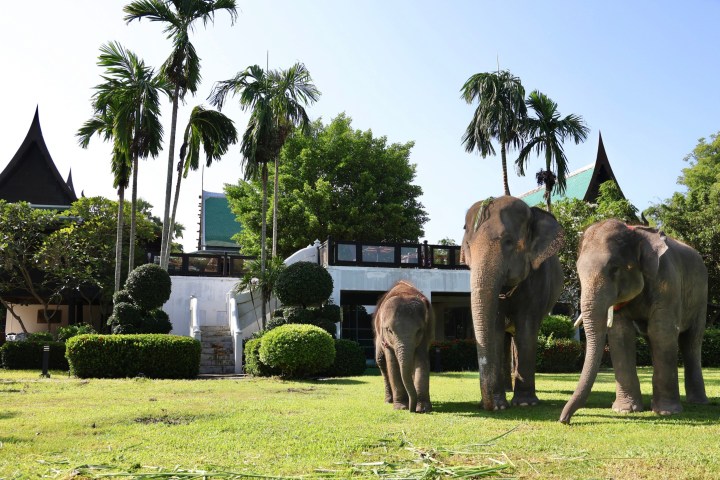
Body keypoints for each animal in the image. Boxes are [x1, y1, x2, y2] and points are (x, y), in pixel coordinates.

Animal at [374, 281, 434, 413]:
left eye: (419, 331)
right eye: (389, 330)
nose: (412, 410)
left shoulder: (426, 333)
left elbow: (422, 361)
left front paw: (423, 408)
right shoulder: (385, 339)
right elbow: (392, 363)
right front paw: (401, 407)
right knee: (381, 361)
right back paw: (389, 400)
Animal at [460, 196, 564, 411]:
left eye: (508, 242)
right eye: (468, 246)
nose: (486, 405)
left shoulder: (538, 281)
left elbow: (526, 330)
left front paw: (525, 403)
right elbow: (495, 331)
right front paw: (500, 404)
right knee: (505, 340)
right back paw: (507, 390)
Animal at [560, 219, 708, 424]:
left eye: (614, 269)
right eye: (578, 273)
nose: (564, 420)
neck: (635, 231)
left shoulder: (668, 282)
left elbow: (662, 332)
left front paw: (668, 413)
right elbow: (621, 336)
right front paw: (624, 410)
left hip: (701, 300)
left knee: (690, 342)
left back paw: (698, 402)